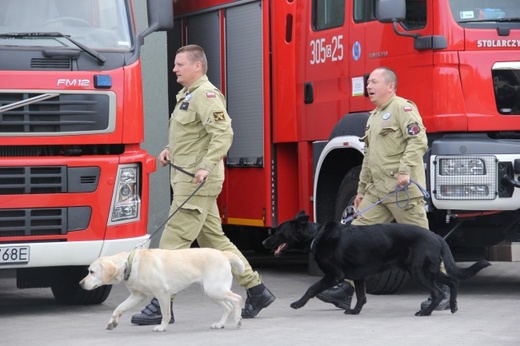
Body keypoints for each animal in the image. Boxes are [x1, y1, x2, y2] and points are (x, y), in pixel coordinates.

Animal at [264, 211, 492, 316]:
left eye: (279, 232)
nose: (264, 242)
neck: (316, 235)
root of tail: (436, 236)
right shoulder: (358, 277)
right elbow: (362, 296)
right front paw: (355, 311)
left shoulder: (334, 275)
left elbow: (312, 288)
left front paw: (298, 303)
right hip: (429, 270)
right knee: (453, 281)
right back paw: (453, 305)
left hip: (418, 271)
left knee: (437, 291)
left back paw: (426, 312)